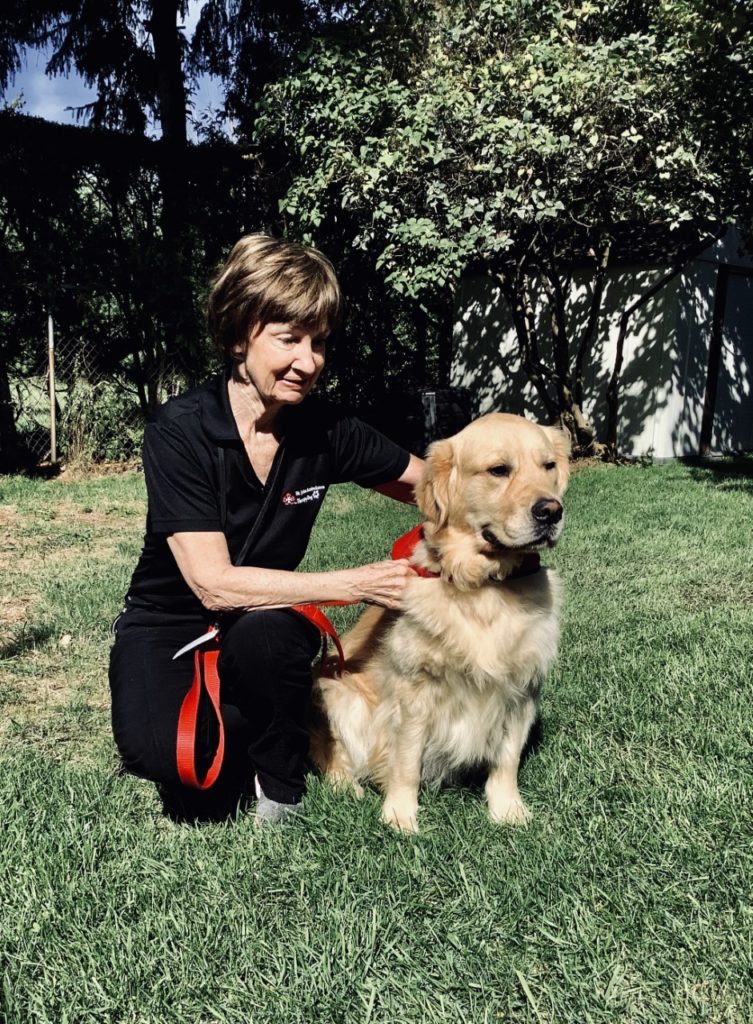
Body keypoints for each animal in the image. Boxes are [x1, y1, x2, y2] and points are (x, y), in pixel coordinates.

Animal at [309, 411, 569, 827]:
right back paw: (346, 788)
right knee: (330, 751)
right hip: (336, 692)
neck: (483, 585)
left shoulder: (522, 687)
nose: (551, 511)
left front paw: (507, 810)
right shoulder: (414, 690)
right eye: (499, 470)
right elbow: (406, 761)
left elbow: (507, 759)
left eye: (548, 466)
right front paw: (400, 816)